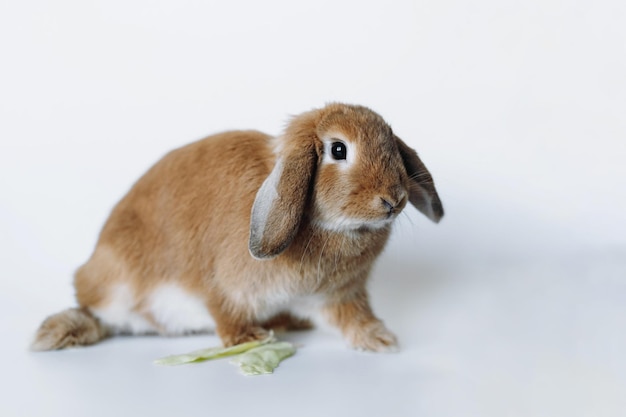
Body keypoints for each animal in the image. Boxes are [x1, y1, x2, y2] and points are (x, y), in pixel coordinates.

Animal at [31, 103, 442, 352]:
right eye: (338, 150)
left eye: (391, 143)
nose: (394, 199)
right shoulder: (225, 287)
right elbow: (223, 311)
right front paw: (249, 339)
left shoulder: (334, 297)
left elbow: (353, 318)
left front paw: (380, 340)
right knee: (101, 317)